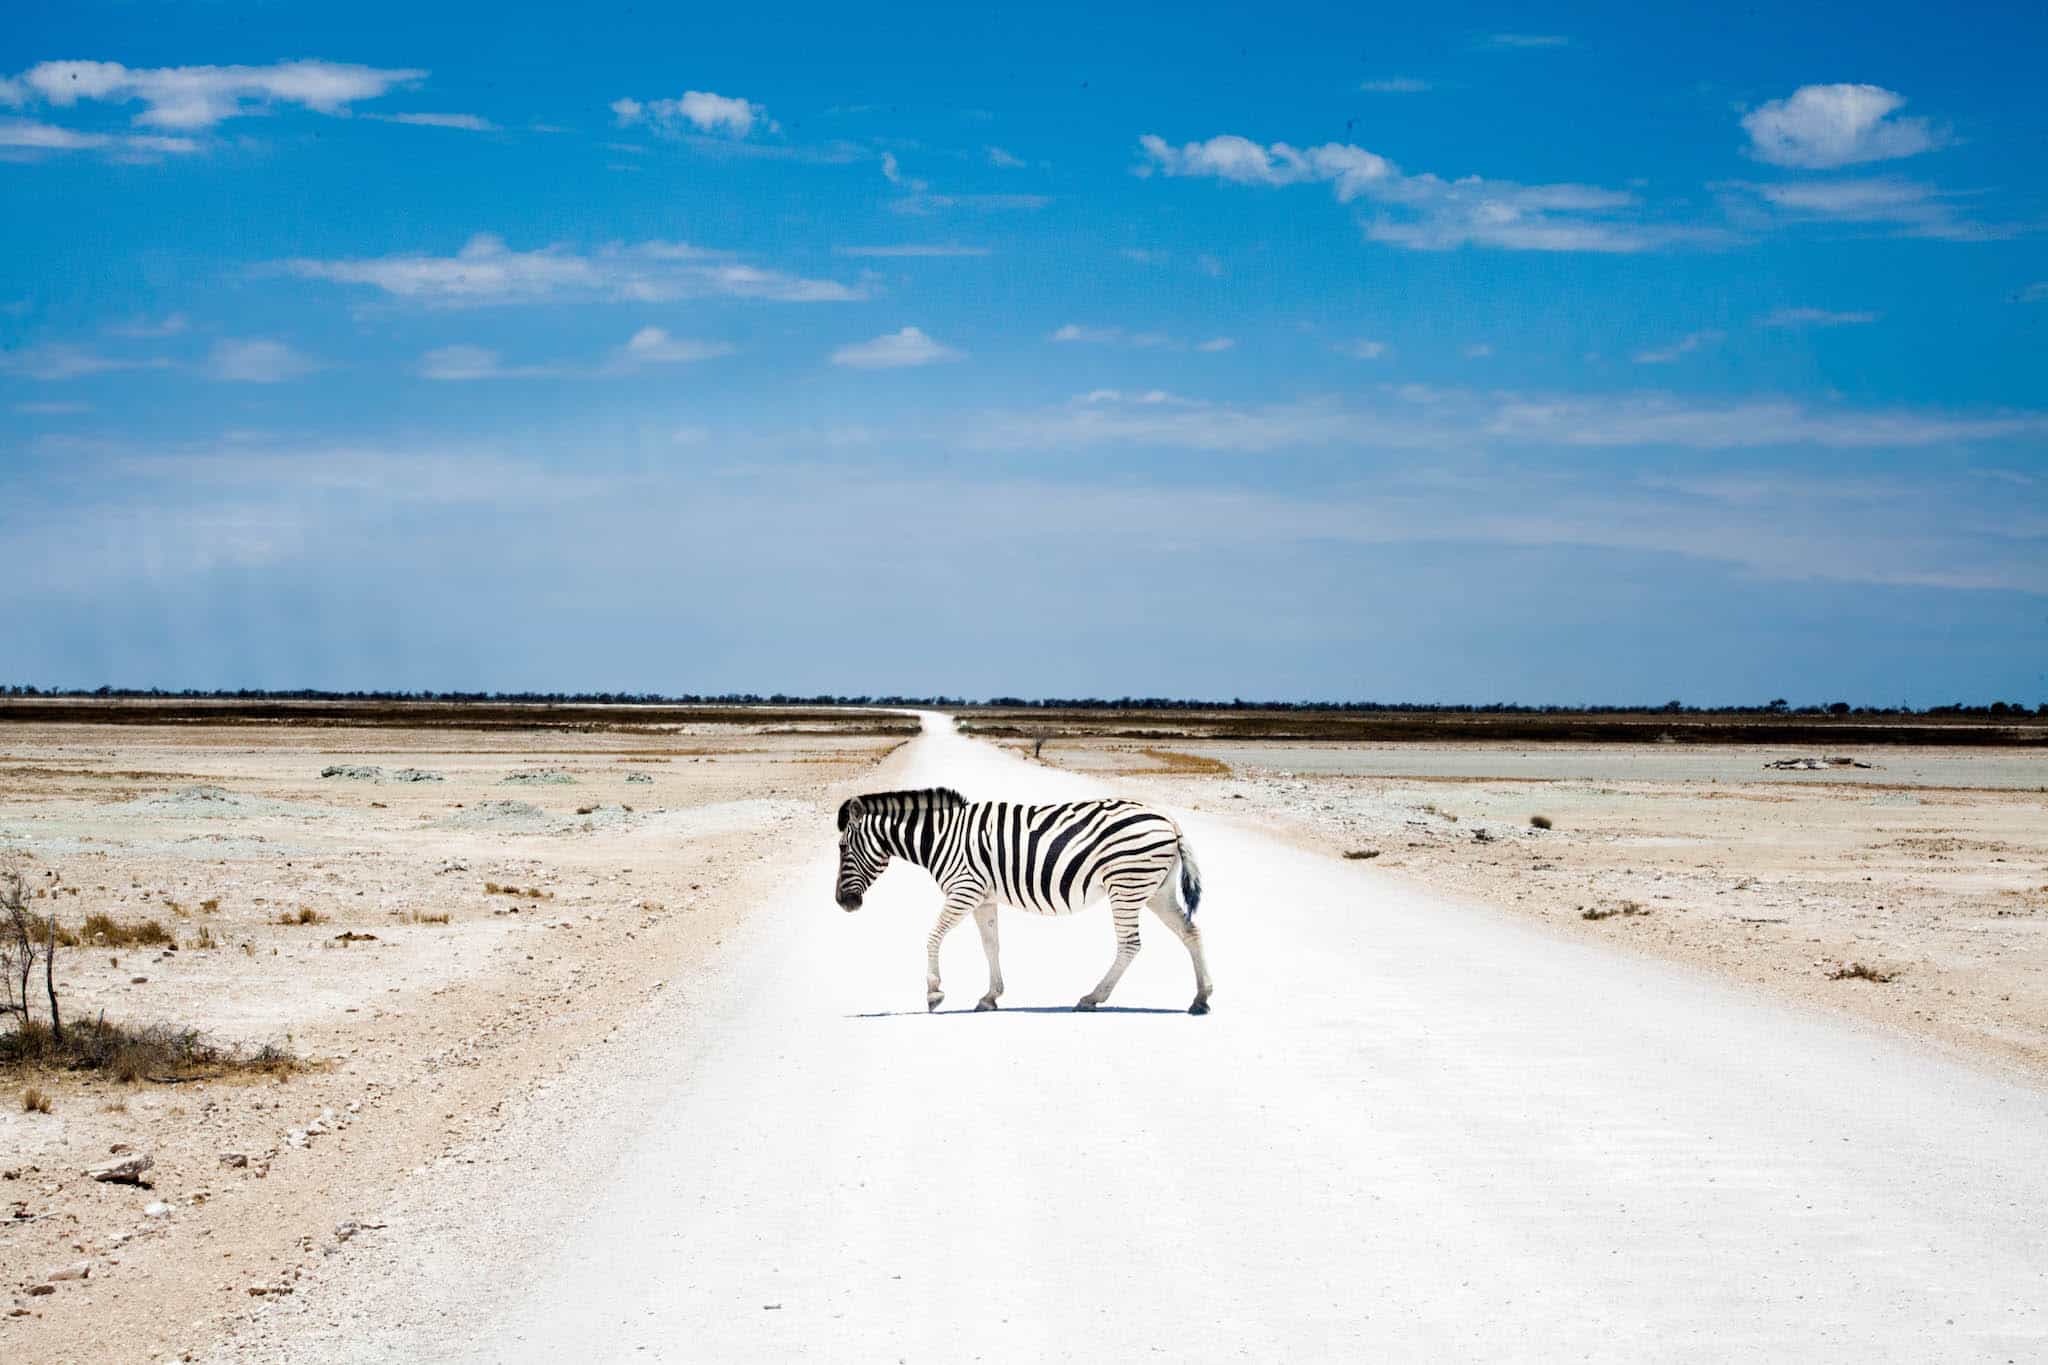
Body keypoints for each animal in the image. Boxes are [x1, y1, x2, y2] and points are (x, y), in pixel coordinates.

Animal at [835, 789, 1212, 1015]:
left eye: (842, 848)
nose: (843, 903)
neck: (941, 837)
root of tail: (1168, 820)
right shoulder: (983, 898)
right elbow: (991, 945)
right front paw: (990, 996)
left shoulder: (964, 890)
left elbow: (932, 936)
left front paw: (934, 992)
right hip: (1155, 890)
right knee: (1190, 932)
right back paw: (1200, 998)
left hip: (1127, 884)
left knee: (1131, 944)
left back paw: (1091, 998)